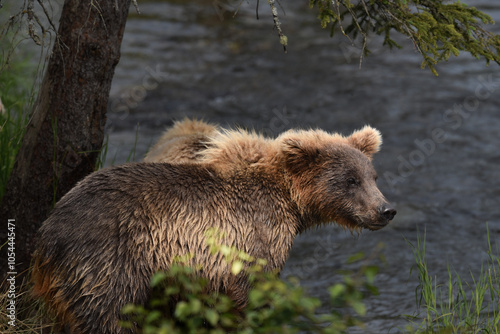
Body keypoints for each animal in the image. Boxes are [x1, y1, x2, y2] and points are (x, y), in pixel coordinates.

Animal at [33, 125, 396, 334]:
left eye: (372, 176)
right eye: (350, 180)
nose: (386, 210)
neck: (292, 204)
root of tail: (49, 232)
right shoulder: (252, 236)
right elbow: (250, 294)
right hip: (110, 262)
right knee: (109, 318)